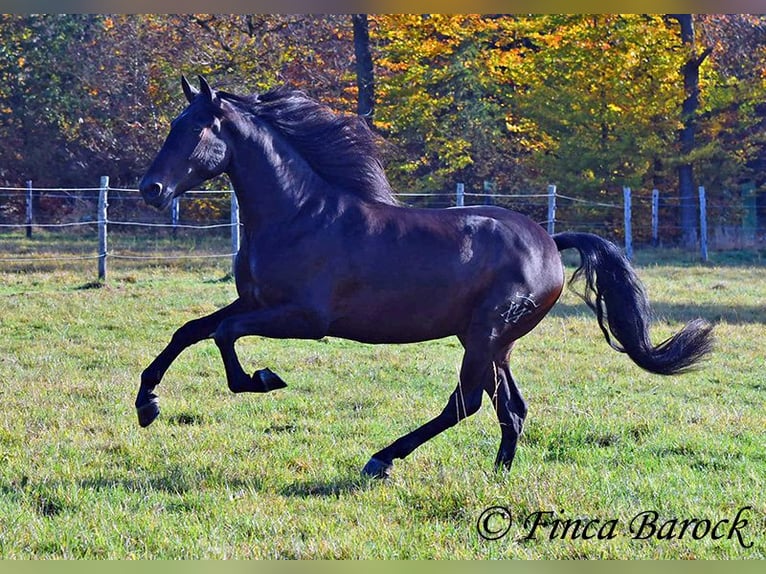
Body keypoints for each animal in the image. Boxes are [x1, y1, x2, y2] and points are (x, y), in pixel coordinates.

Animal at [136, 77, 712, 482]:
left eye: (195, 129)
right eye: (172, 125)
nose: (150, 189)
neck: (298, 215)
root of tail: (550, 241)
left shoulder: (304, 317)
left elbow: (223, 336)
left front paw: (261, 379)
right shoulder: (254, 301)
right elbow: (190, 330)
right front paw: (147, 405)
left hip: (484, 335)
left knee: (467, 402)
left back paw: (382, 459)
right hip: (493, 341)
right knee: (511, 409)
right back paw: (497, 475)